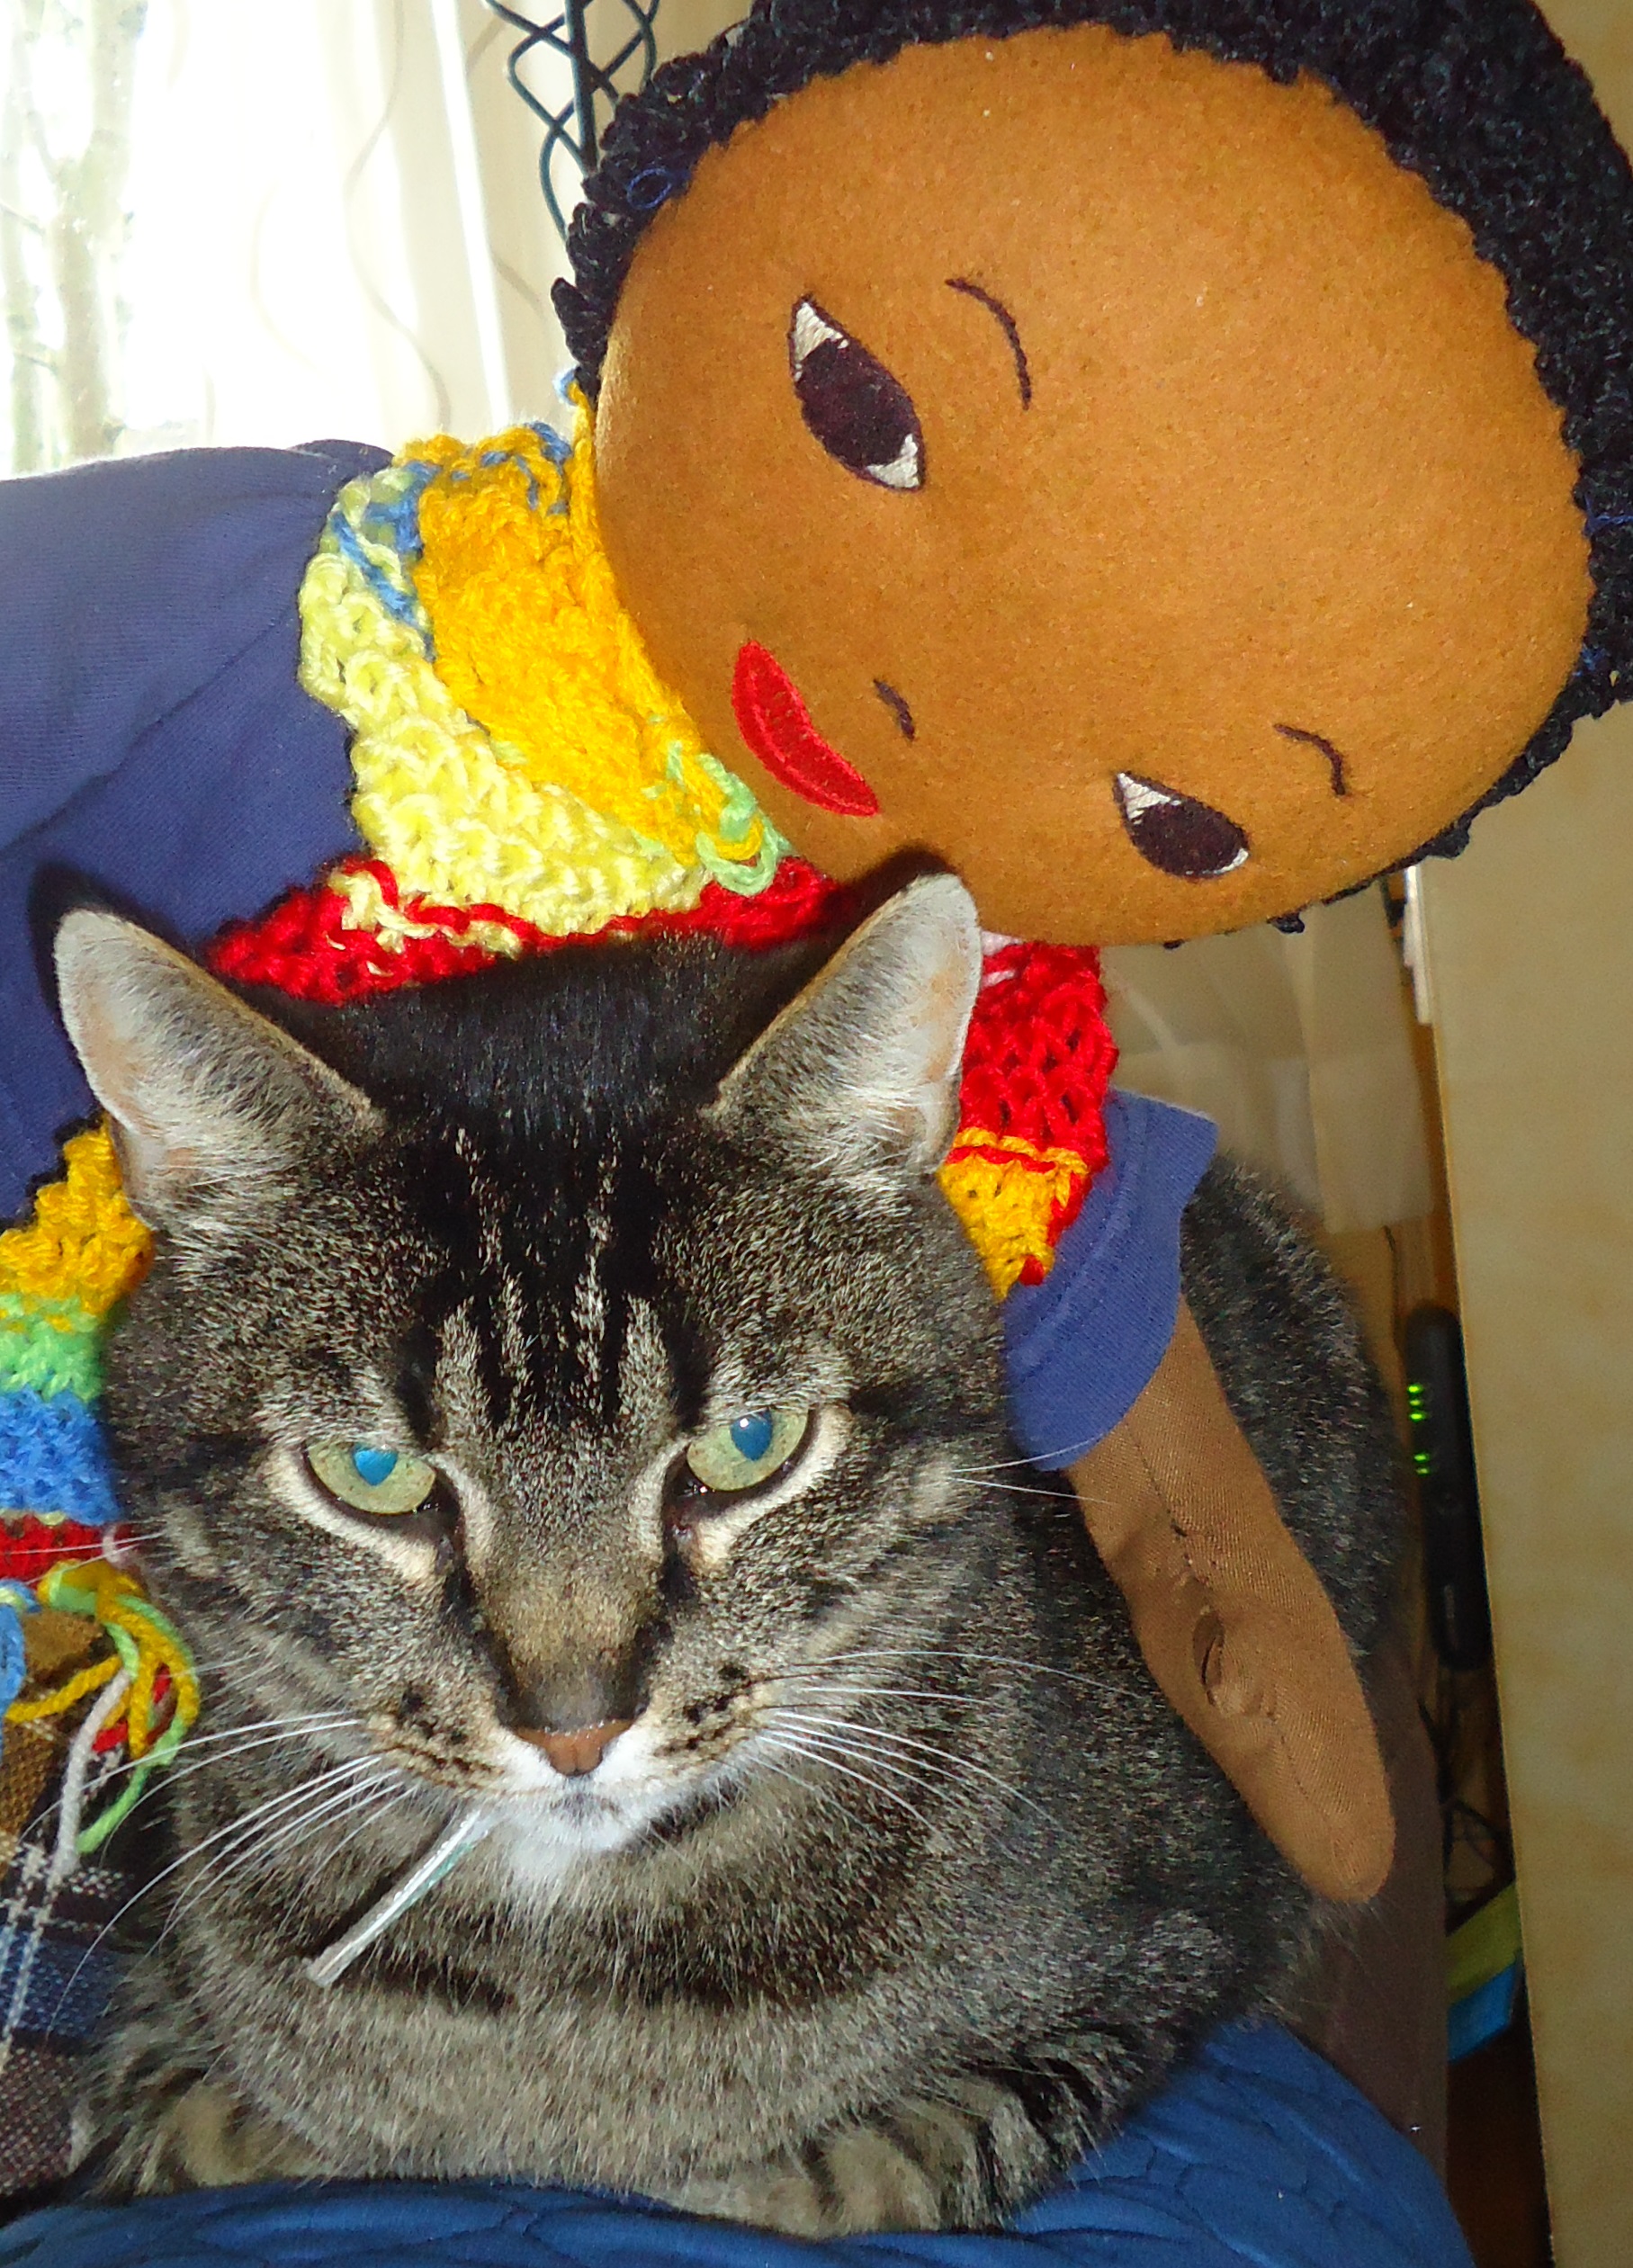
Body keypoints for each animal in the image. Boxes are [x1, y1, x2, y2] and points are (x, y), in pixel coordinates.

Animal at [57, 875, 1396, 2222]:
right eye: (371, 1476)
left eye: (750, 1446)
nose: (574, 1726)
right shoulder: (159, 2033)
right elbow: (192, 2119)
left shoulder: (1154, 1967)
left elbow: (846, 2172)